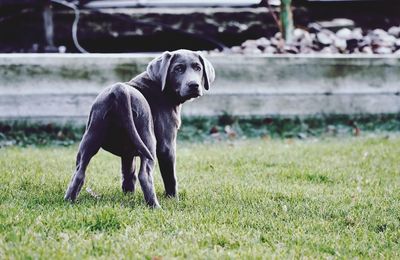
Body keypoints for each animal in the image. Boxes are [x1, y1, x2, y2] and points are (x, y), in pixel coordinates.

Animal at [64, 49, 216, 207]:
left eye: (198, 68)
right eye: (178, 69)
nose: (194, 85)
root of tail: (119, 90)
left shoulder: (127, 152)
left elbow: (128, 172)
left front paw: (128, 194)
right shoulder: (167, 145)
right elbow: (170, 176)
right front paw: (173, 199)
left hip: (91, 135)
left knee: (79, 172)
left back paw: (69, 200)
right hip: (148, 140)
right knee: (144, 175)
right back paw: (155, 206)